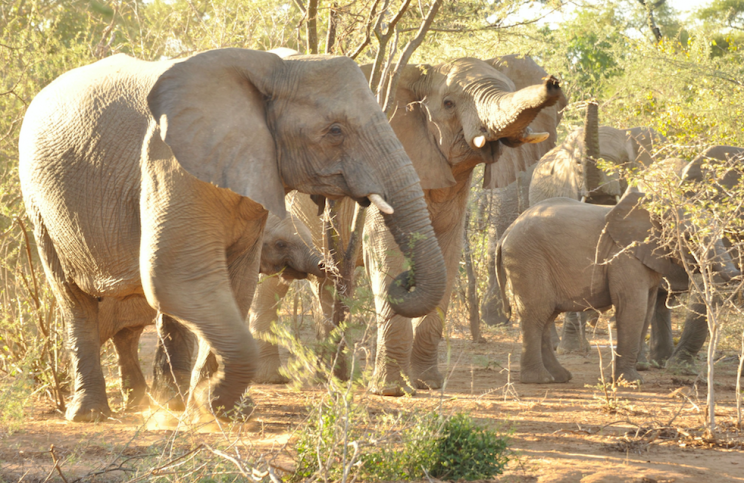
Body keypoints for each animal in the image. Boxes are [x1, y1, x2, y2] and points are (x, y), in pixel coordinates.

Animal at [20, 47, 444, 422]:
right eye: (335, 130)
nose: (403, 280)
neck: (270, 67)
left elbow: (236, 284)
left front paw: (213, 408)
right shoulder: (169, 163)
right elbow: (176, 278)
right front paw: (211, 403)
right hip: (39, 204)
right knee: (74, 301)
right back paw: (91, 415)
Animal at [494, 191, 740, 384]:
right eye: (689, 238)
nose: (737, 274)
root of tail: (506, 232)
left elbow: (646, 309)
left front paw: (630, 376)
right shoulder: (625, 256)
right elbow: (633, 308)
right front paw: (632, 382)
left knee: (546, 316)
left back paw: (560, 377)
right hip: (527, 259)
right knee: (536, 313)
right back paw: (540, 380)